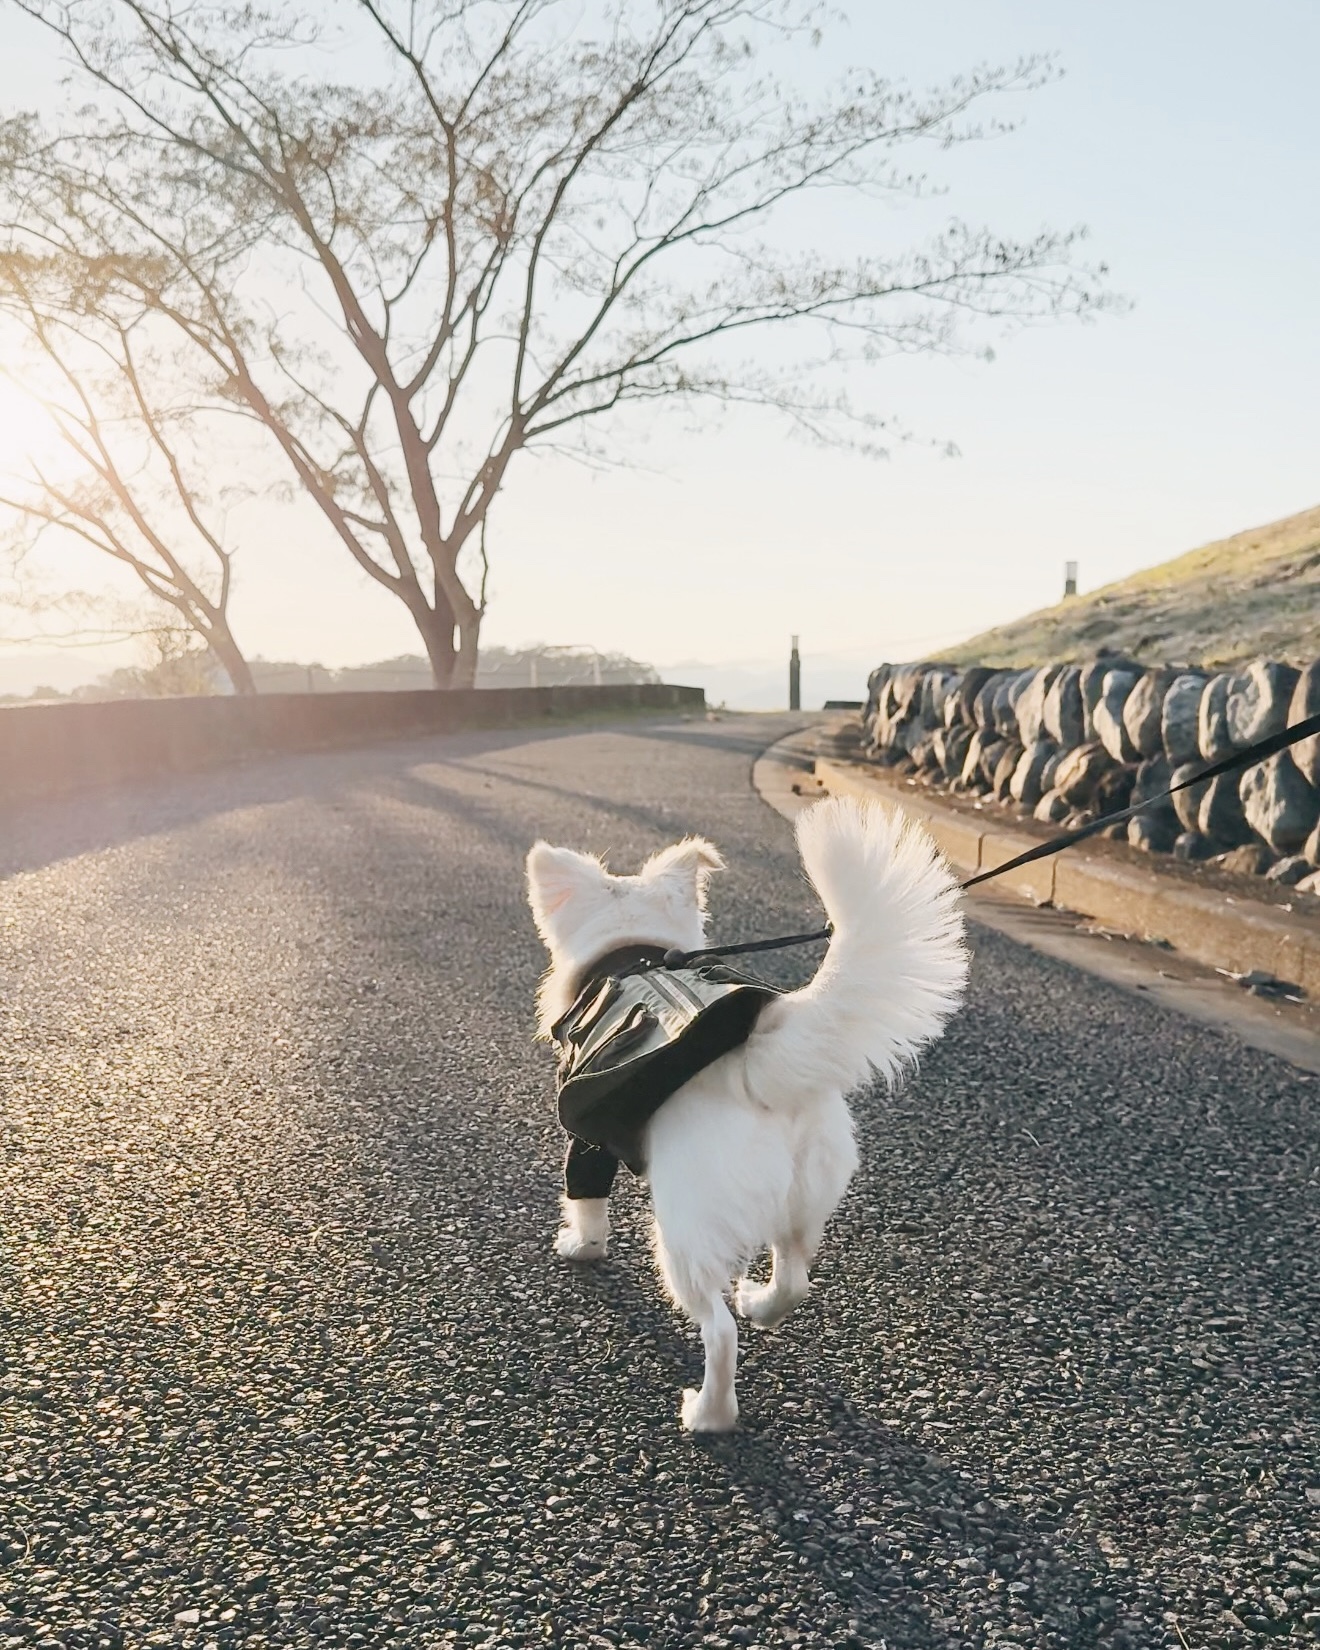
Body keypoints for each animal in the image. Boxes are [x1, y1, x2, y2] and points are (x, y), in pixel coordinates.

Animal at [524, 798, 970, 1432]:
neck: (633, 953)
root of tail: (755, 1068)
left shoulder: (587, 1137)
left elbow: (585, 1201)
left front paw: (580, 1247)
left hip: (683, 1237)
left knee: (720, 1332)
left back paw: (707, 1414)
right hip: (804, 1201)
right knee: (795, 1280)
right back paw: (761, 1304)